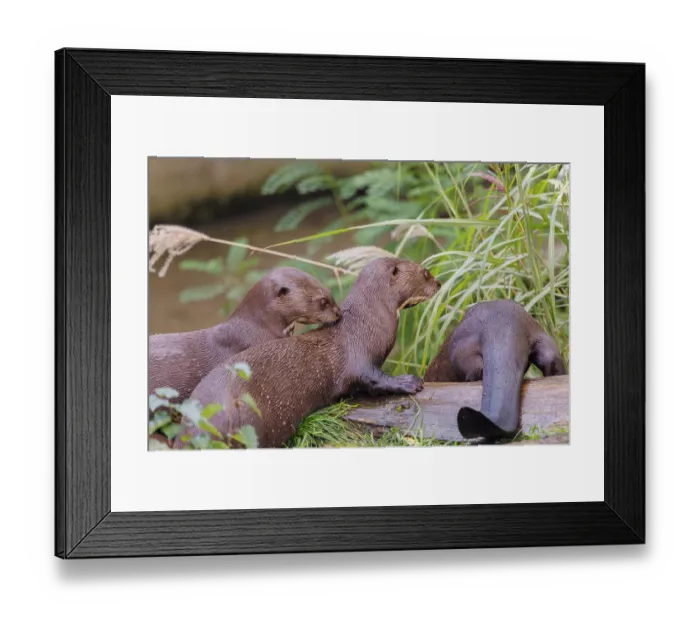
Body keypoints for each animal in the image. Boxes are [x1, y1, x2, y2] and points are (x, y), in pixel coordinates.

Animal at [174, 258, 441, 449]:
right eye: (426, 272)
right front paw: (408, 382)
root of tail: (202, 425)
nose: (439, 284)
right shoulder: (358, 357)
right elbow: (372, 378)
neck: (366, 323)